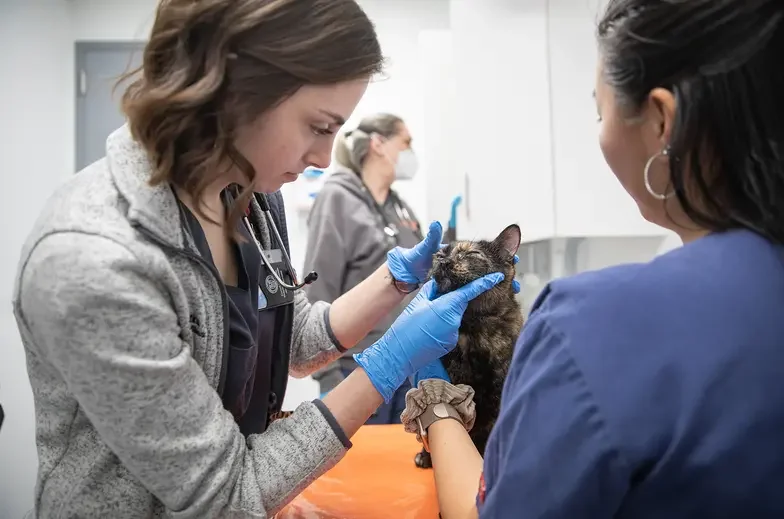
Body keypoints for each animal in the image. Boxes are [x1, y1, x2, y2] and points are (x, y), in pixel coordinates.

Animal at [414, 225, 524, 470]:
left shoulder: (497, 393)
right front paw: (426, 456)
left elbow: (489, 432)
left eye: (471, 254)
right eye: (440, 254)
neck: (470, 329)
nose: (443, 260)